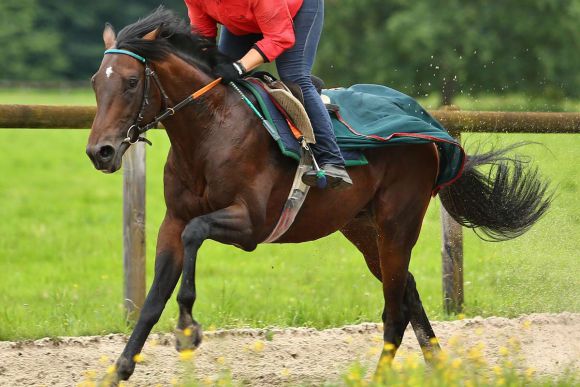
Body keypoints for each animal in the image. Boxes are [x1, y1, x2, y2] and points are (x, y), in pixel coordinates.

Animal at [84, 9, 552, 384]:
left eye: (130, 82)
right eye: (95, 84)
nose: (99, 152)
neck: (211, 131)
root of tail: (432, 129)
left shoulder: (251, 223)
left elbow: (195, 236)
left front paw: (187, 328)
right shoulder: (173, 220)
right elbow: (152, 297)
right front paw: (119, 369)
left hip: (398, 222)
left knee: (395, 308)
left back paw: (380, 377)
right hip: (362, 228)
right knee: (408, 293)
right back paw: (438, 366)